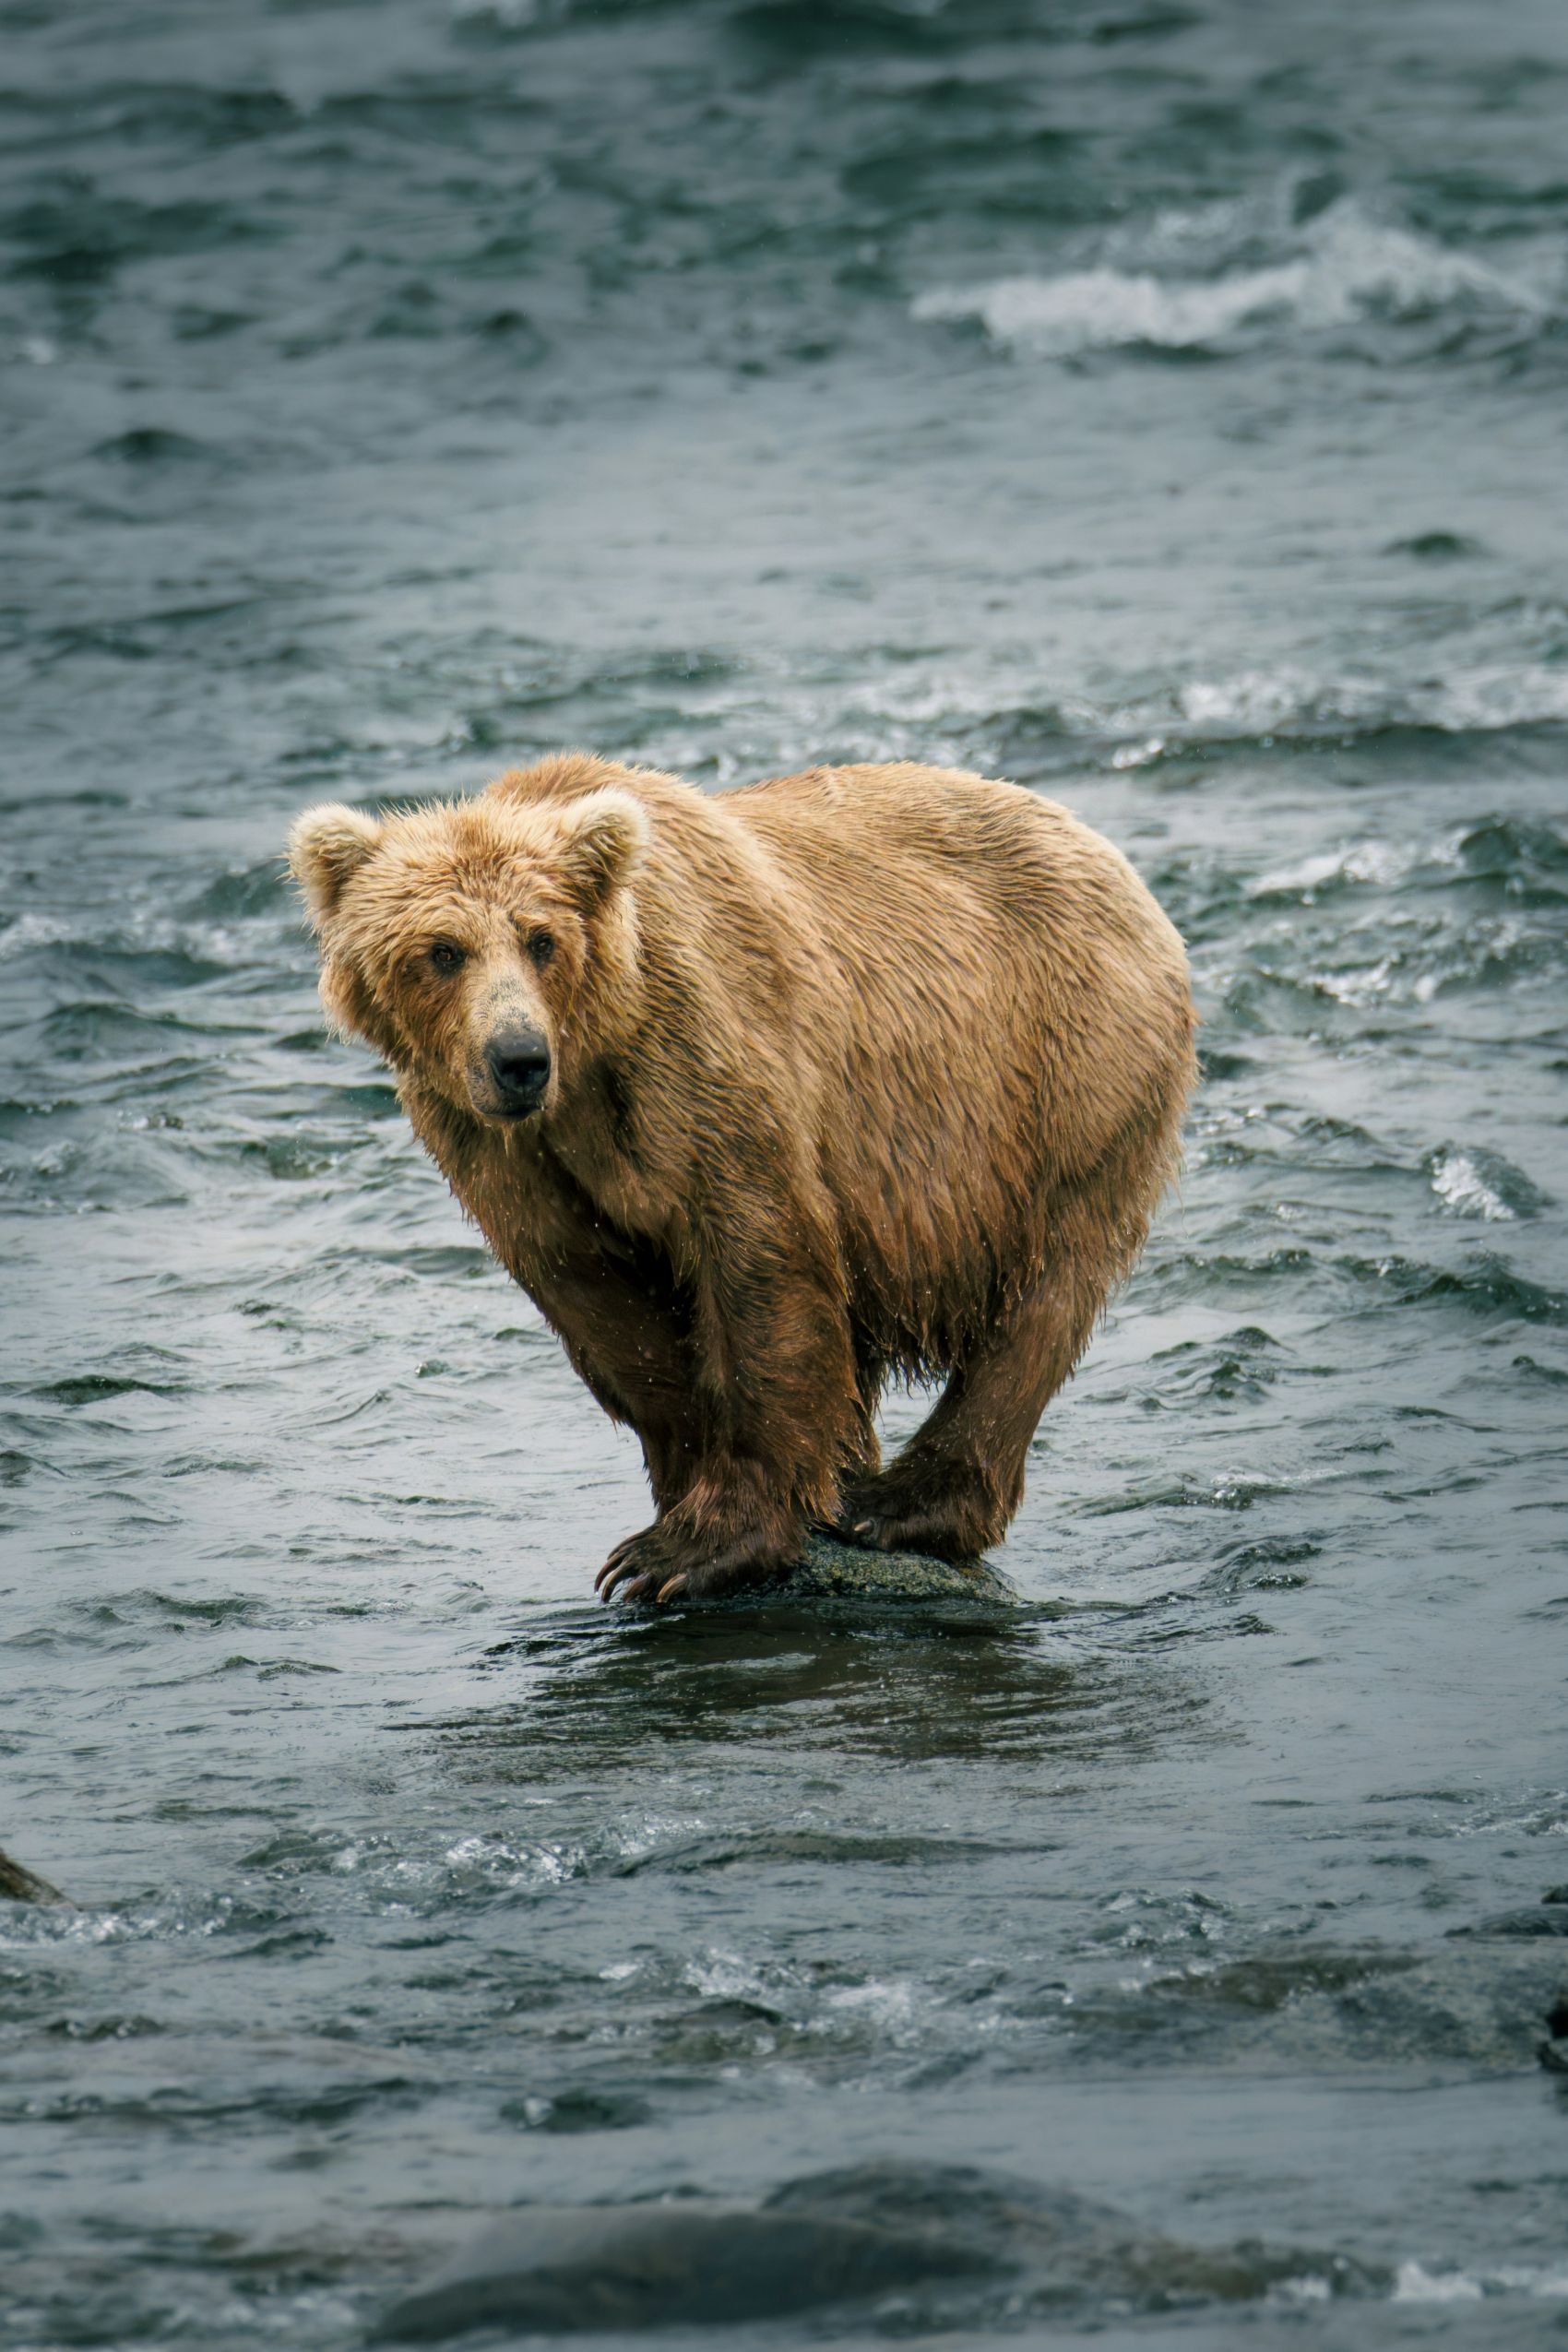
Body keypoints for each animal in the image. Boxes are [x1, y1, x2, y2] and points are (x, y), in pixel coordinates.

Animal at [289, 753, 1196, 1604]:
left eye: (541, 938)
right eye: (441, 951)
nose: (517, 1058)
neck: (592, 1057)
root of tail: (1106, 852)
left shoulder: (699, 1056)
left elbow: (759, 1257)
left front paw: (690, 1549)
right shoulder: (502, 1149)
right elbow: (600, 1299)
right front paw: (679, 1494)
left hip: (1066, 1072)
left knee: (1043, 1294)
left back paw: (902, 1503)